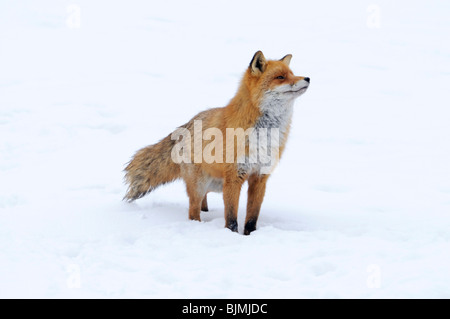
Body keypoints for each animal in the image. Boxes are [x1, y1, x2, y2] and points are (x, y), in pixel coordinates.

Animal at [125, 50, 312, 235]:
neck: (263, 134)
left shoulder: (260, 176)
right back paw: (197, 226)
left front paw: (250, 235)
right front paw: (232, 235)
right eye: (280, 77)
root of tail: (186, 125)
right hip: (201, 184)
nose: (308, 78)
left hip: (214, 184)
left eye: (292, 74)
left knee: (202, 203)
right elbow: (231, 217)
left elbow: (252, 215)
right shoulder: (234, 176)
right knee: (193, 210)